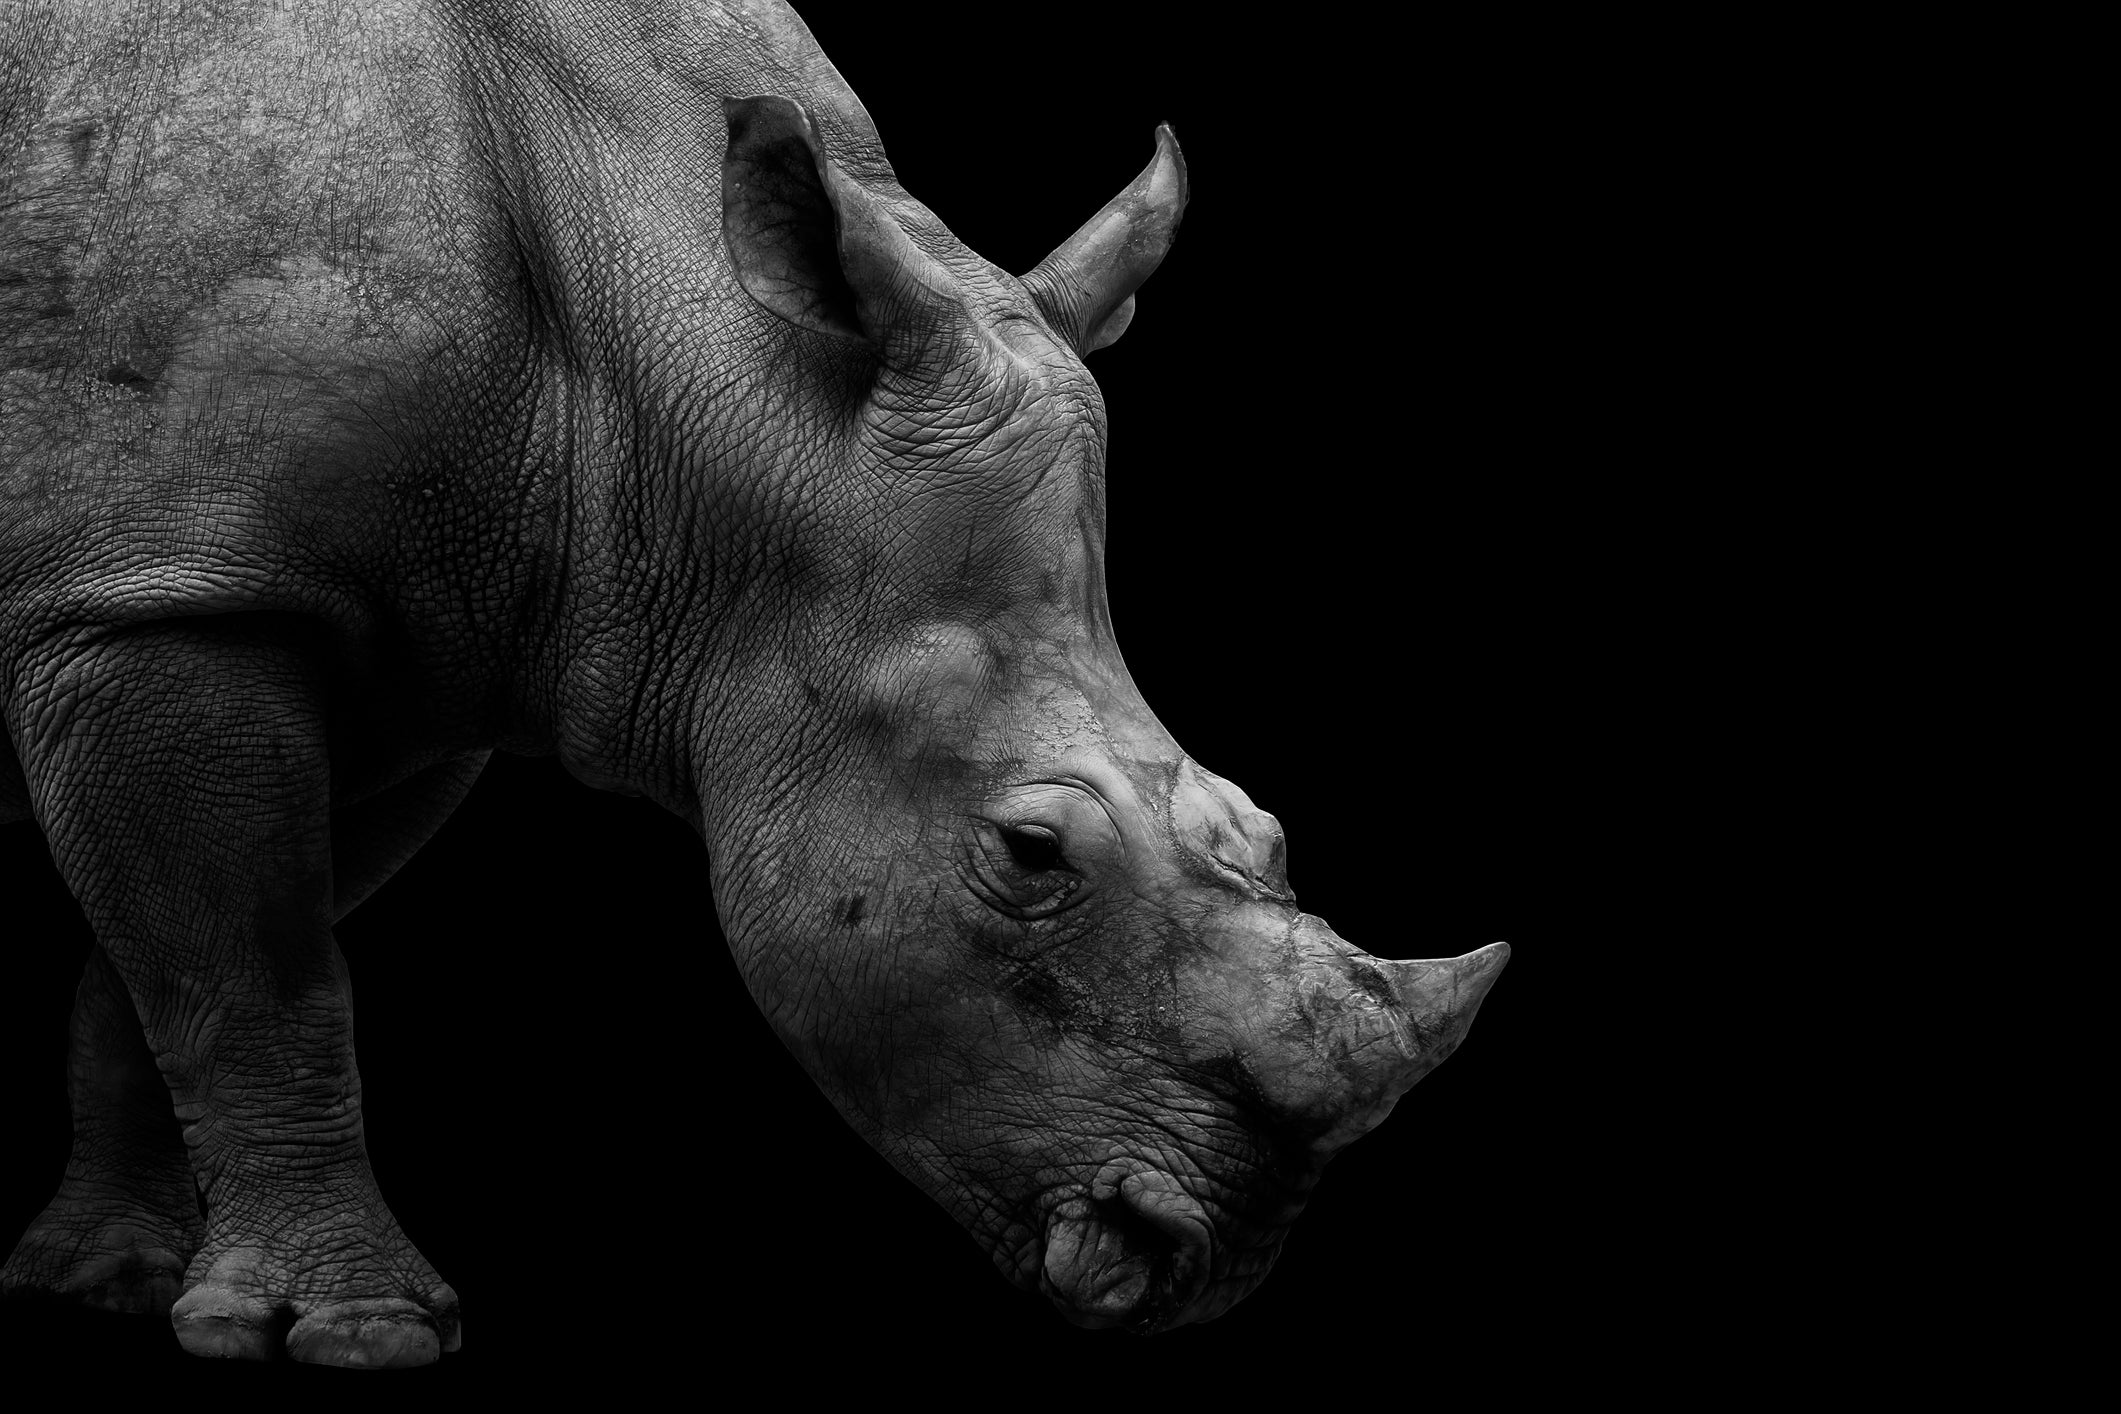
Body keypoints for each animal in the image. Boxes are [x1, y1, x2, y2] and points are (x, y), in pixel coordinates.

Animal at [0, 0, 1509, 1367]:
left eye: (1267, 825)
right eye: (1031, 853)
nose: (1205, 1263)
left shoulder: (385, 641)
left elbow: (177, 959)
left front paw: (105, 1281)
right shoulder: (167, 592)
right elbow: (258, 970)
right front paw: (352, 1331)